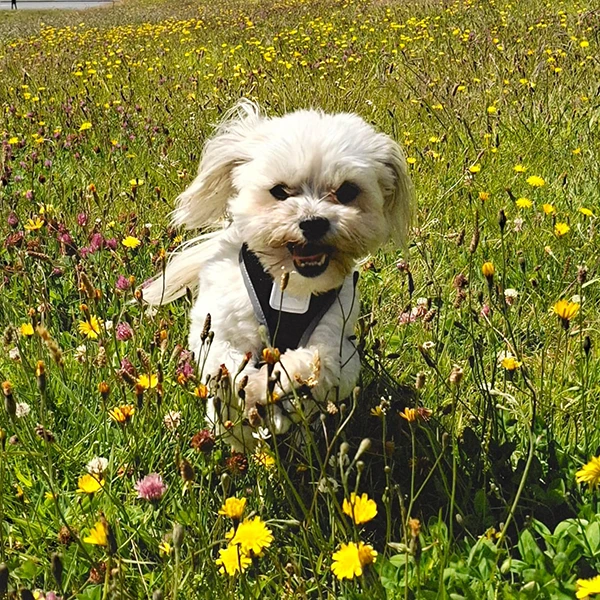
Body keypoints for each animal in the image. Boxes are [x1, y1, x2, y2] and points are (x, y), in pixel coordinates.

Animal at [144, 101, 413, 451]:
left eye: (347, 191)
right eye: (280, 192)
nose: (313, 221)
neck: (290, 289)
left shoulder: (338, 342)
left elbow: (312, 362)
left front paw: (269, 387)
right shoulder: (218, 330)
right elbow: (228, 366)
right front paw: (252, 397)